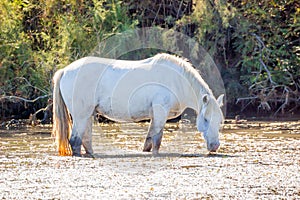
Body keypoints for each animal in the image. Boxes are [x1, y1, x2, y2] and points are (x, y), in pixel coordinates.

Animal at [52, 54, 224, 157]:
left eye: (219, 121)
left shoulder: (155, 115)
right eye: (206, 119)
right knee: (74, 141)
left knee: (85, 139)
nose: (215, 146)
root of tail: (65, 71)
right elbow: (157, 138)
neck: (176, 80)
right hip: (81, 115)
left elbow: (149, 139)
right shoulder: (160, 112)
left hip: (87, 115)